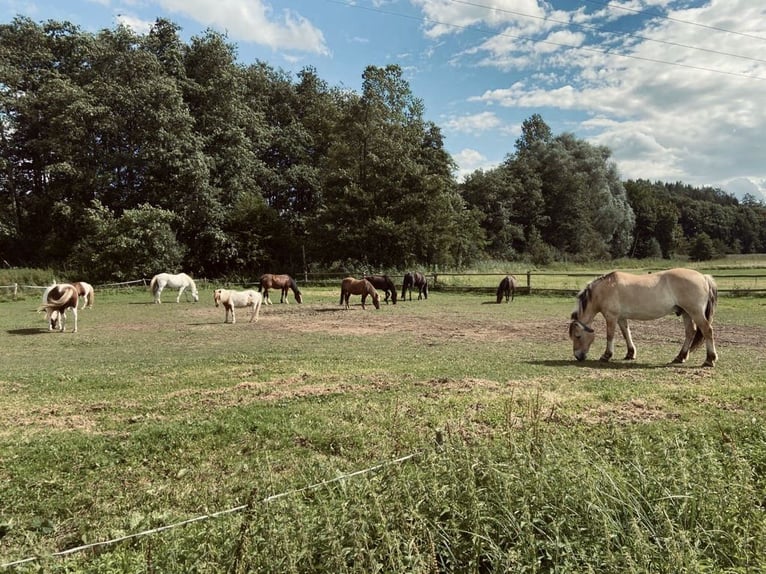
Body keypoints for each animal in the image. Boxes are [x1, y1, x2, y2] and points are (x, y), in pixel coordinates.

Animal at [569, 268, 718, 367]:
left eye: (578, 336)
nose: (578, 356)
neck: (605, 289)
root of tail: (704, 277)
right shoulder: (621, 318)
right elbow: (626, 333)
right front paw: (630, 354)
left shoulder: (611, 317)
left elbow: (610, 335)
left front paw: (606, 356)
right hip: (686, 313)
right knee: (690, 332)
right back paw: (680, 357)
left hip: (695, 312)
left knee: (707, 330)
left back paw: (709, 360)